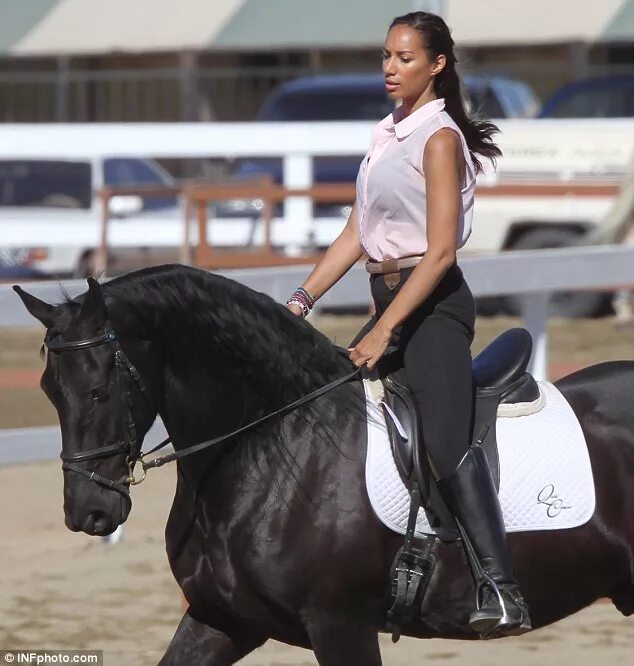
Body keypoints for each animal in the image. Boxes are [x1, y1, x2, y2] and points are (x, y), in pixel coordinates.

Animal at [13, 264, 632, 664]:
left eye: (99, 390)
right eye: (49, 390)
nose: (88, 512)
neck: (273, 444)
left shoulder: (340, 625)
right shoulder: (223, 618)